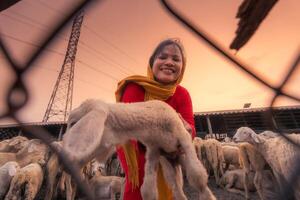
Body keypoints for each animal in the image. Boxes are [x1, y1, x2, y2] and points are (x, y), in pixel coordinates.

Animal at [58, 98, 214, 200]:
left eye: (73, 123)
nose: (63, 161)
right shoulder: (154, 150)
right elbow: (147, 191)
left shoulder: (184, 138)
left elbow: (198, 177)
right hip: (168, 164)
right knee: (177, 189)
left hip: (180, 156)